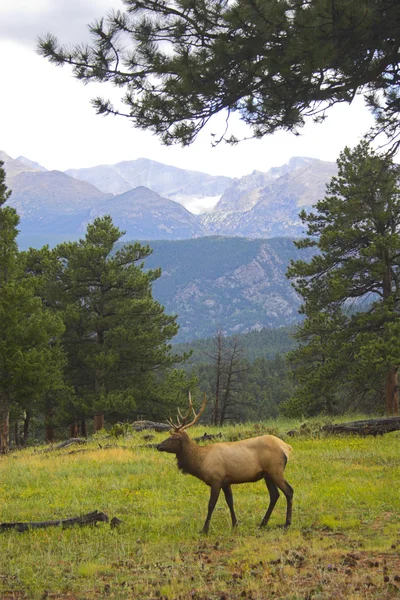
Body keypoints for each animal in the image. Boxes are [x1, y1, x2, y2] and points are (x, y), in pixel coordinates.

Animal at [157, 394, 294, 536]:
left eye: (173, 438)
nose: (158, 445)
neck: (202, 462)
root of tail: (287, 447)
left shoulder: (216, 479)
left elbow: (211, 504)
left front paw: (204, 529)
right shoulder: (226, 482)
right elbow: (230, 502)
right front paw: (235, 524)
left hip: (275, 470)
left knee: (289, 491)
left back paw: (286, 524)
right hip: (267, 474)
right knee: (274, 495)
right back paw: (262, 523)